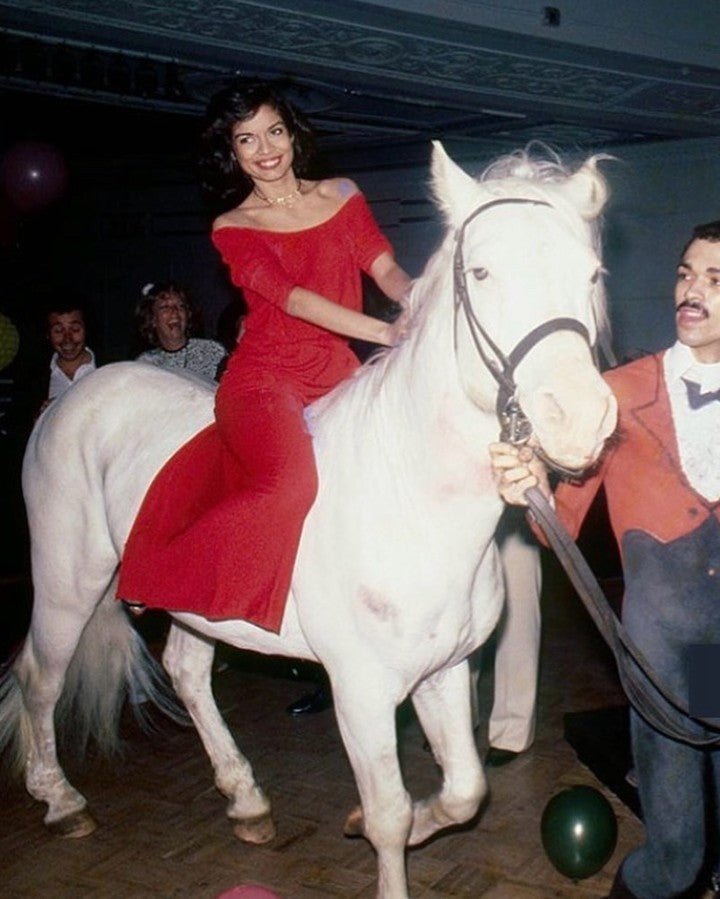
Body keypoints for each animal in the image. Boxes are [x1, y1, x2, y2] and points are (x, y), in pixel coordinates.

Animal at [0, 142, 620, 899]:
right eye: (481, 272)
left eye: (589, 274)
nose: (581, 419)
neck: (412, 499)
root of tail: (70, 397)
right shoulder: (362, 692)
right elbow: (388, 815)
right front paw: (384, 836)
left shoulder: (445, 671)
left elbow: (464, 791)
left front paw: (413, 819)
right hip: (69, 581)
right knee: (39, 678)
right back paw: (61, 800)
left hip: (197, 603)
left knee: (186, 671)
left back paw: (245, 798)